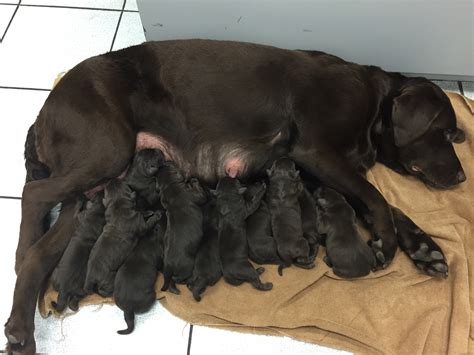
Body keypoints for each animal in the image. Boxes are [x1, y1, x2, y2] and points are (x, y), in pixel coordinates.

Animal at [156, 162, 206, 294]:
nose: (166, 161)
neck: (170, 186)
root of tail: (168, 266)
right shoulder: (196, 195)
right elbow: (201, 194)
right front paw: (194, 180)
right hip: (187, 266)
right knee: (177, 278)